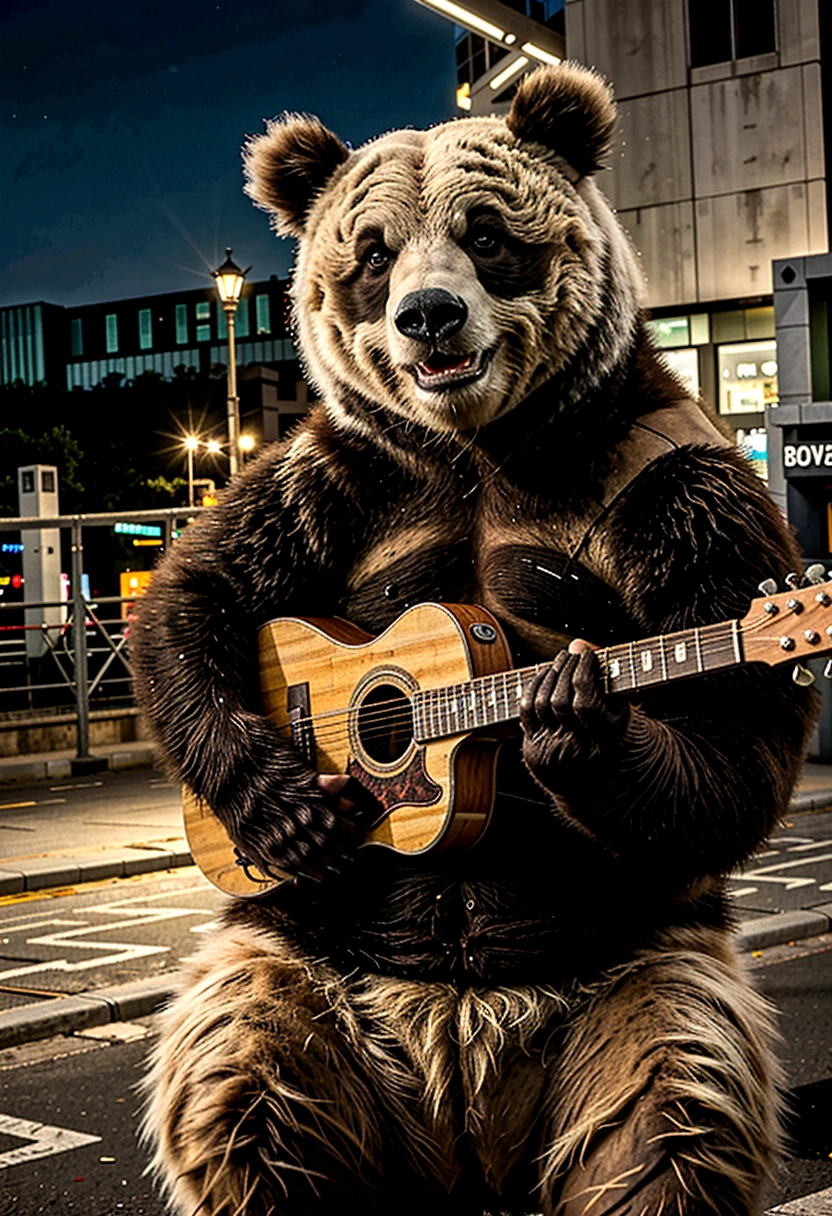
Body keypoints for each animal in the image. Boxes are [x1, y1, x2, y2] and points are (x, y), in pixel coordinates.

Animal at [133, 64, 817, 1216]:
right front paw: (277, 801)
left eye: (487, 235)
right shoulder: (331, 467)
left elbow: (734, 733)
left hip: (625, 990)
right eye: (372, 254)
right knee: (248, 1084)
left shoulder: (690, 486)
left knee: (667, 1112)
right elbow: (194, 592)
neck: (474, 447)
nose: (428, 313)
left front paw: (580, 725)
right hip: (308, 964)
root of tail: (463, 1144)